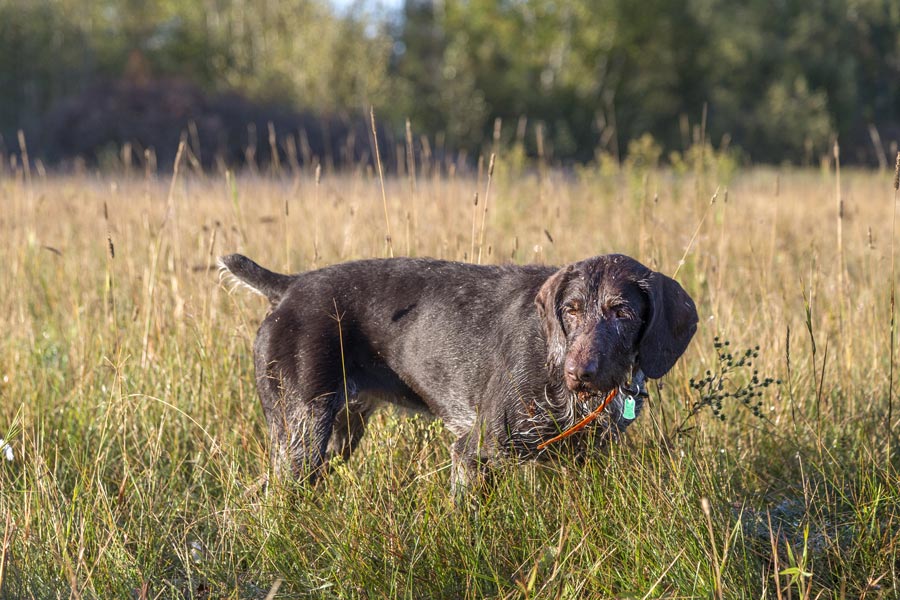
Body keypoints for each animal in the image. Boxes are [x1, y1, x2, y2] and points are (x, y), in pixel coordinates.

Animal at [221, 253, 700, 492]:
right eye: (571, 309)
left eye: (622, 312)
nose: (578, 373)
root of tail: (289, 287)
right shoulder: (474, 452)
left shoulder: (583, 461)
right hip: (302, 434)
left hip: (332, 437)